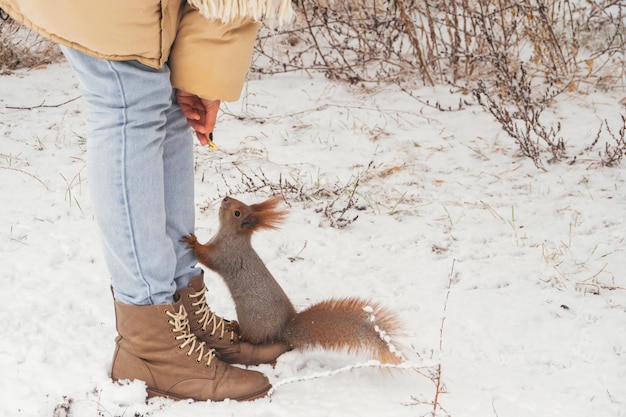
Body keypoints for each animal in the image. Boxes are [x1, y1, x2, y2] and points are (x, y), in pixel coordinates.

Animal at [180, 195, 404, 360]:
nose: (226, 198)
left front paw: (194, 242)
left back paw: (237, 329)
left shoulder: (226, 255)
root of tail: (284, 328)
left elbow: (209, 259)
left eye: (237, 212)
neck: (232, 236)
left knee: (254, 339)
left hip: (251, 318)